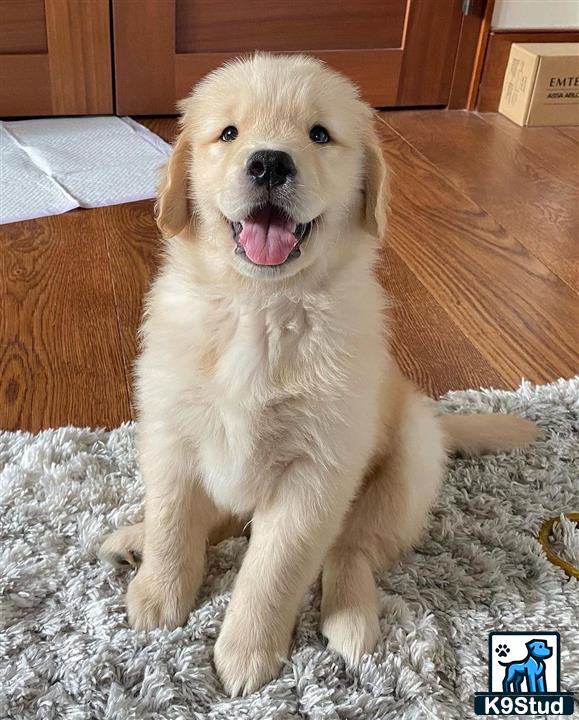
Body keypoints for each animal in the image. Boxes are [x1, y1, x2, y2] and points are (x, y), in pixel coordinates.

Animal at [98, 53, 540, 696]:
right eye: (228, 134)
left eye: (319, 135)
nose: (268, 162)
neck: (259, 307)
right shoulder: (170, 434)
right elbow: (175, 521)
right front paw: (160, 592)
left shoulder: (315, 472)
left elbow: (273, 569)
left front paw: (246, 652)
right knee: (218, 519)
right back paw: (135, 541)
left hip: (406, 470)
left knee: (351, 549)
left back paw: (352, 619)